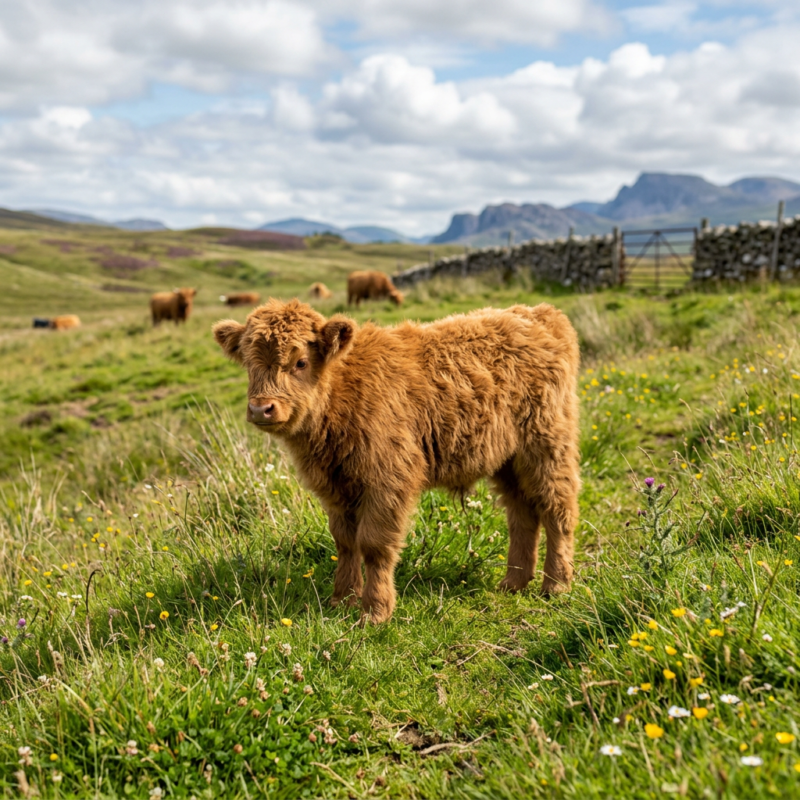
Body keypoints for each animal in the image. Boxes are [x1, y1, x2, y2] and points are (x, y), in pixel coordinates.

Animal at [213, 298, 580, 624]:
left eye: (301, 362)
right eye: (249, 364)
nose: (261, 408)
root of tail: (537, 313)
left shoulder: (387, 479)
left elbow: (374, 545)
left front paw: (374, 612)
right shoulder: (336, 486)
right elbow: (344, 542)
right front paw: (342, 600)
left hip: (547, 446)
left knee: (557, 509)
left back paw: (556, 585)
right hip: (508, 460)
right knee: (522, 515)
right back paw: (513, 583)